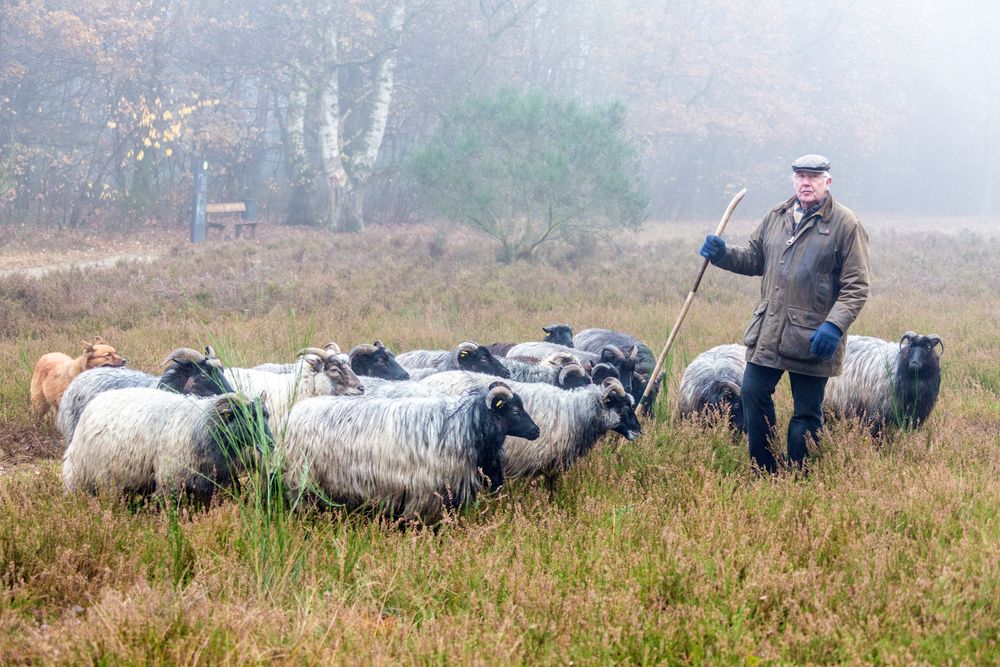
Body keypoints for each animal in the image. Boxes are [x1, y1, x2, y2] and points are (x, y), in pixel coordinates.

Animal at [278, 380, 544, 520]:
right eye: (515, 410)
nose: (536, 431)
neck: (465, 426)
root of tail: (295, 412)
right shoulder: (425, 491)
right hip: (303, 480)